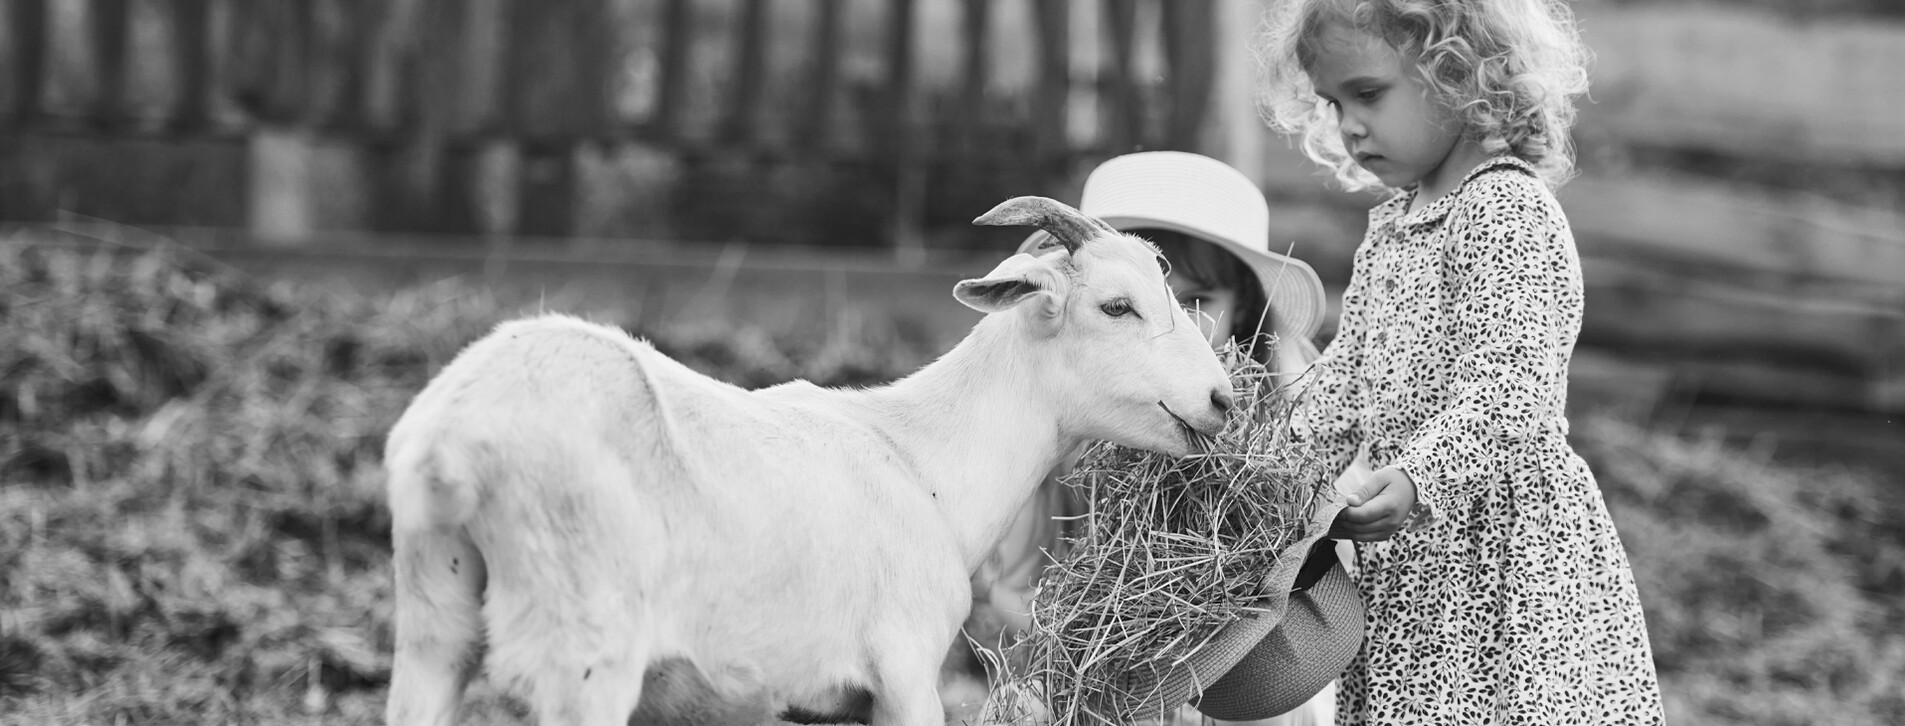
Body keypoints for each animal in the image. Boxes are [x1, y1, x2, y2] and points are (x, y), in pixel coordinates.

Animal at [382, 196, 1234, 724]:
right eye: (1116, 306)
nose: (1222, 400)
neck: (922, 460)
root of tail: (450, 442)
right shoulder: (904, 673)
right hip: (582, 650)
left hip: (432, 627)